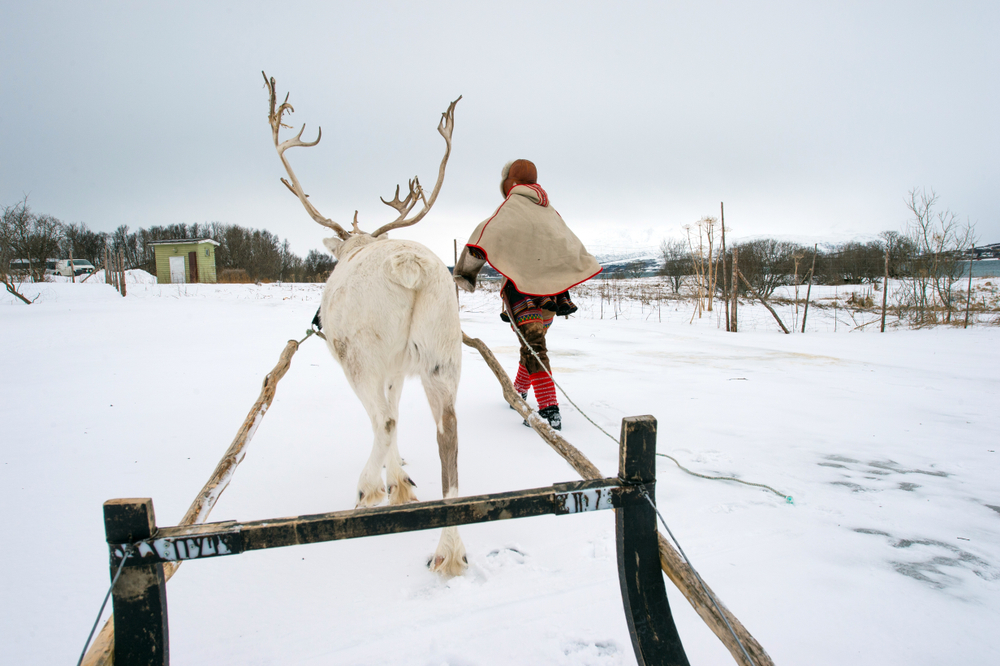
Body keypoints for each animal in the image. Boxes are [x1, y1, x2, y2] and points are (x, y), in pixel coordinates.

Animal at [263, 72, 466, 576]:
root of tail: (409, 265)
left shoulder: (376, 364)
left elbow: (385, 418)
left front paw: (390, 487)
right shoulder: (398, 368)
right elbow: (398, 411)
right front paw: (402, 484)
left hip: (359, 355)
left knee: (385, 420)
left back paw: (364, 490)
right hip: (442, 353)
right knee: (447, 430)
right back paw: (450, 550)